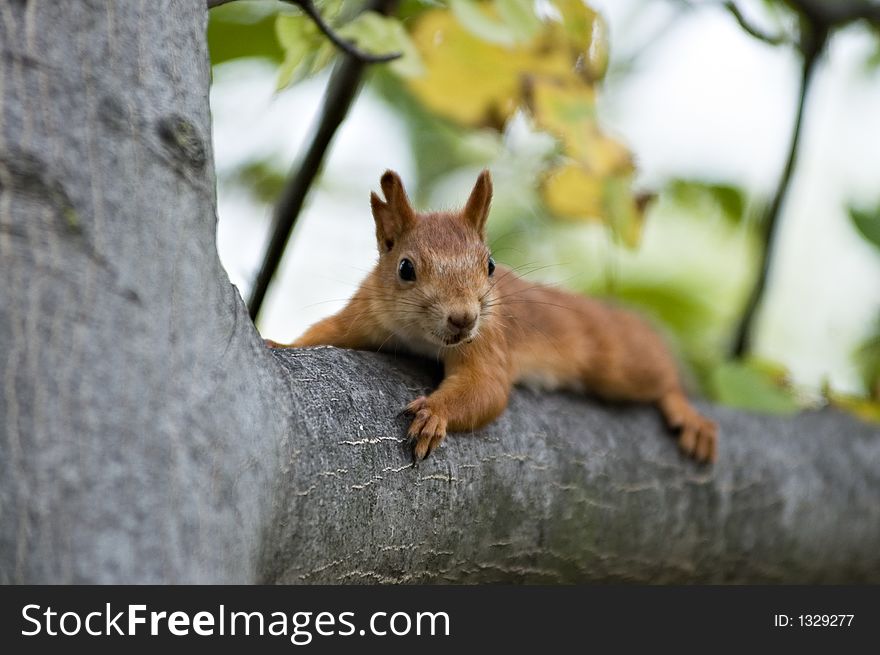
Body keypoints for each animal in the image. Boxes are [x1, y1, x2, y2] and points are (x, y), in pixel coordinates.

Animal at [272, 172, 720, 464]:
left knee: (660, 379)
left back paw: (687, 414)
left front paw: (434, 414)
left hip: (618, 364)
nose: (463, 319)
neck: (419, 336)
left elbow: (485, 388)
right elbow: (325, 331)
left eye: (489, 265)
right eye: (405, 268)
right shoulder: (366, 314)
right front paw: (279, 342)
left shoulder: (489, 339)